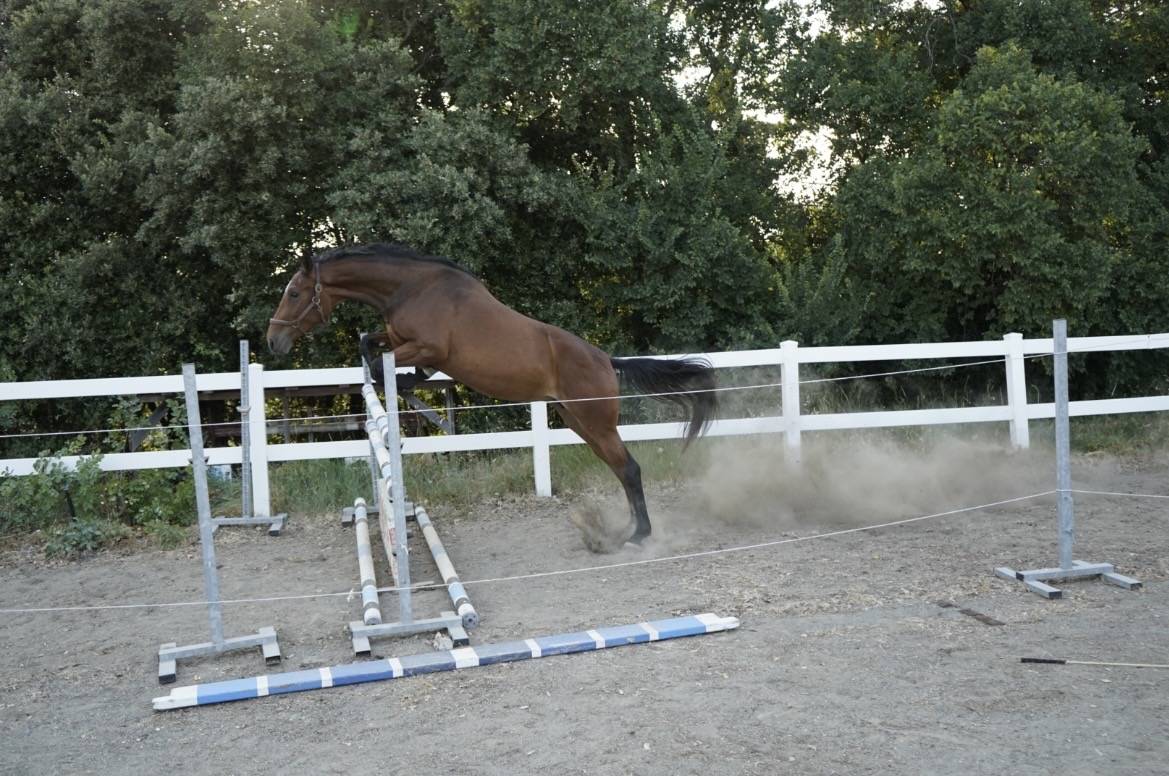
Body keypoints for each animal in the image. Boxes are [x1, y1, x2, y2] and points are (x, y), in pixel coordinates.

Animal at [266, 243, 717, 550]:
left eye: (293, 293)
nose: (273, 341)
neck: (412, 288)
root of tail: (606, 358)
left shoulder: (428, 348)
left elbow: (383, 365)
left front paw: (403, 384)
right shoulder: (400, 341)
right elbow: (368, 344)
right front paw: (404, 382)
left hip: (596, 423)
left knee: (631, 470)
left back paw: (639, 536)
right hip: (580, 424)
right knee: (622, 470)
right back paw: (624, 532)